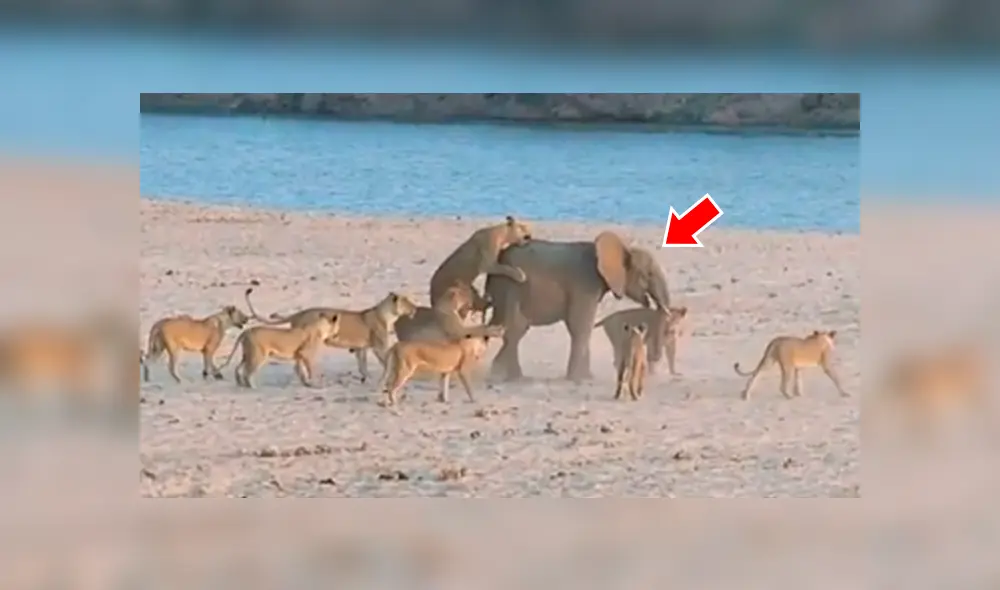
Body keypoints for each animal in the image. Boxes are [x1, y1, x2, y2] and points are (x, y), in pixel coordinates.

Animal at [245, 288, 418, 383]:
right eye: (407, 301)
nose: (416, 308)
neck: (388, 314)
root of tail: (299, 314)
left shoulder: (361, 348)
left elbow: (362, 365)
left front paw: (365, 378)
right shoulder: (379, 346)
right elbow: (386, 361)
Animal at [485, 231, 671, 383]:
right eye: (648, 274)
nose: (654, 361)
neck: (623, 247)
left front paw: (587, 378)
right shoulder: (585, 284)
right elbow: (581, 325)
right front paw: (578, 379)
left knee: (512, 329)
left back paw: (499, 373)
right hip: (513, 287)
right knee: (515, 329)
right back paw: (512, 377)